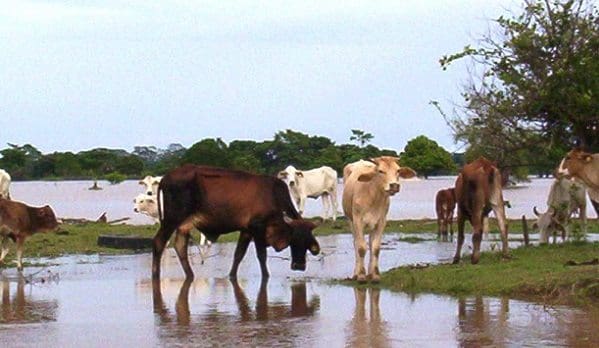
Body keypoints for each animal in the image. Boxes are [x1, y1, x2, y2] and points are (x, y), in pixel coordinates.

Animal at [154, 164, 324, 282]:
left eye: (307, 242)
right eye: (295, 240)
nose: (299, 266)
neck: (274, 197)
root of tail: (165, 178)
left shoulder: (246, 230)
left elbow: (238, 255)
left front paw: (231, 276)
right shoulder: (257, 227)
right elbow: (261, 255)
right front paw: (266, 276)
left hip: (184, 225)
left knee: (180, 246)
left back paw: (190, 275)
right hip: (171, 219)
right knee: (159, 242)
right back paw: (156, 275)